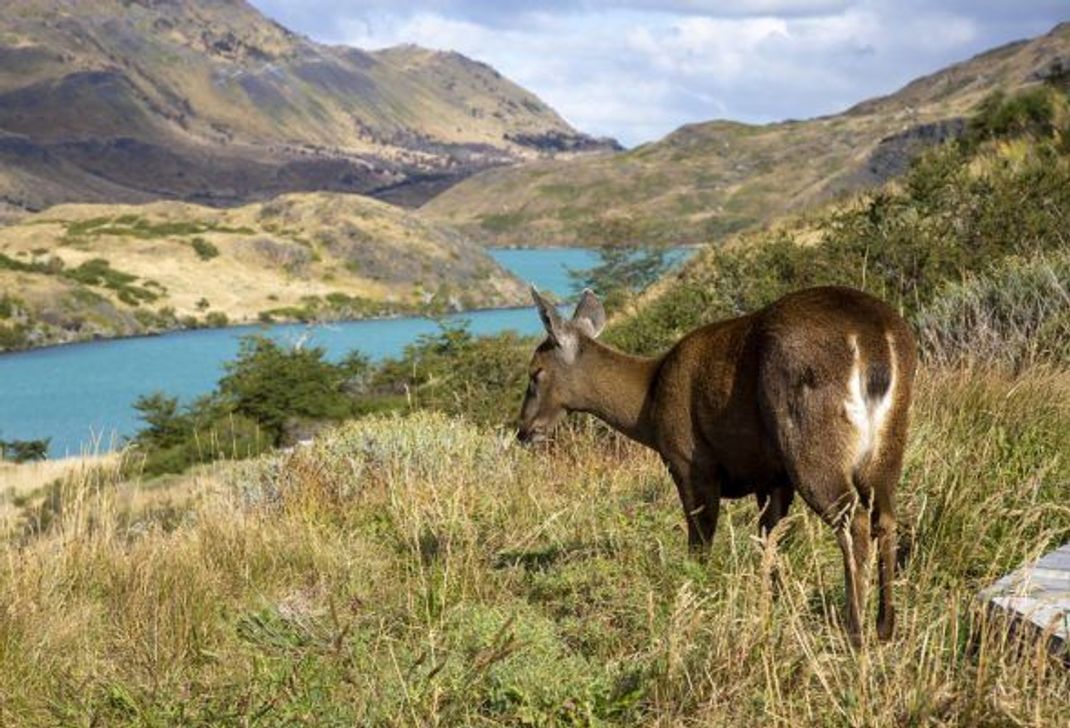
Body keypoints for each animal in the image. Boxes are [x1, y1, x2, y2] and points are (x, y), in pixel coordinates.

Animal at [513, 284, 915, 642]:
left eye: (535, 372)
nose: (523, 430)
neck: (650, 403)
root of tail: (877, 343)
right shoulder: (771, 475)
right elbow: (768, 541)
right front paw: (769, 608)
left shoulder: (690, 462)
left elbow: (700, 540)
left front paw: (696, 596)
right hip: (886, 447)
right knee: (884, 518)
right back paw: (885, 626)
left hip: (809, 442)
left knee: (854, 521)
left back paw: (855, 630)